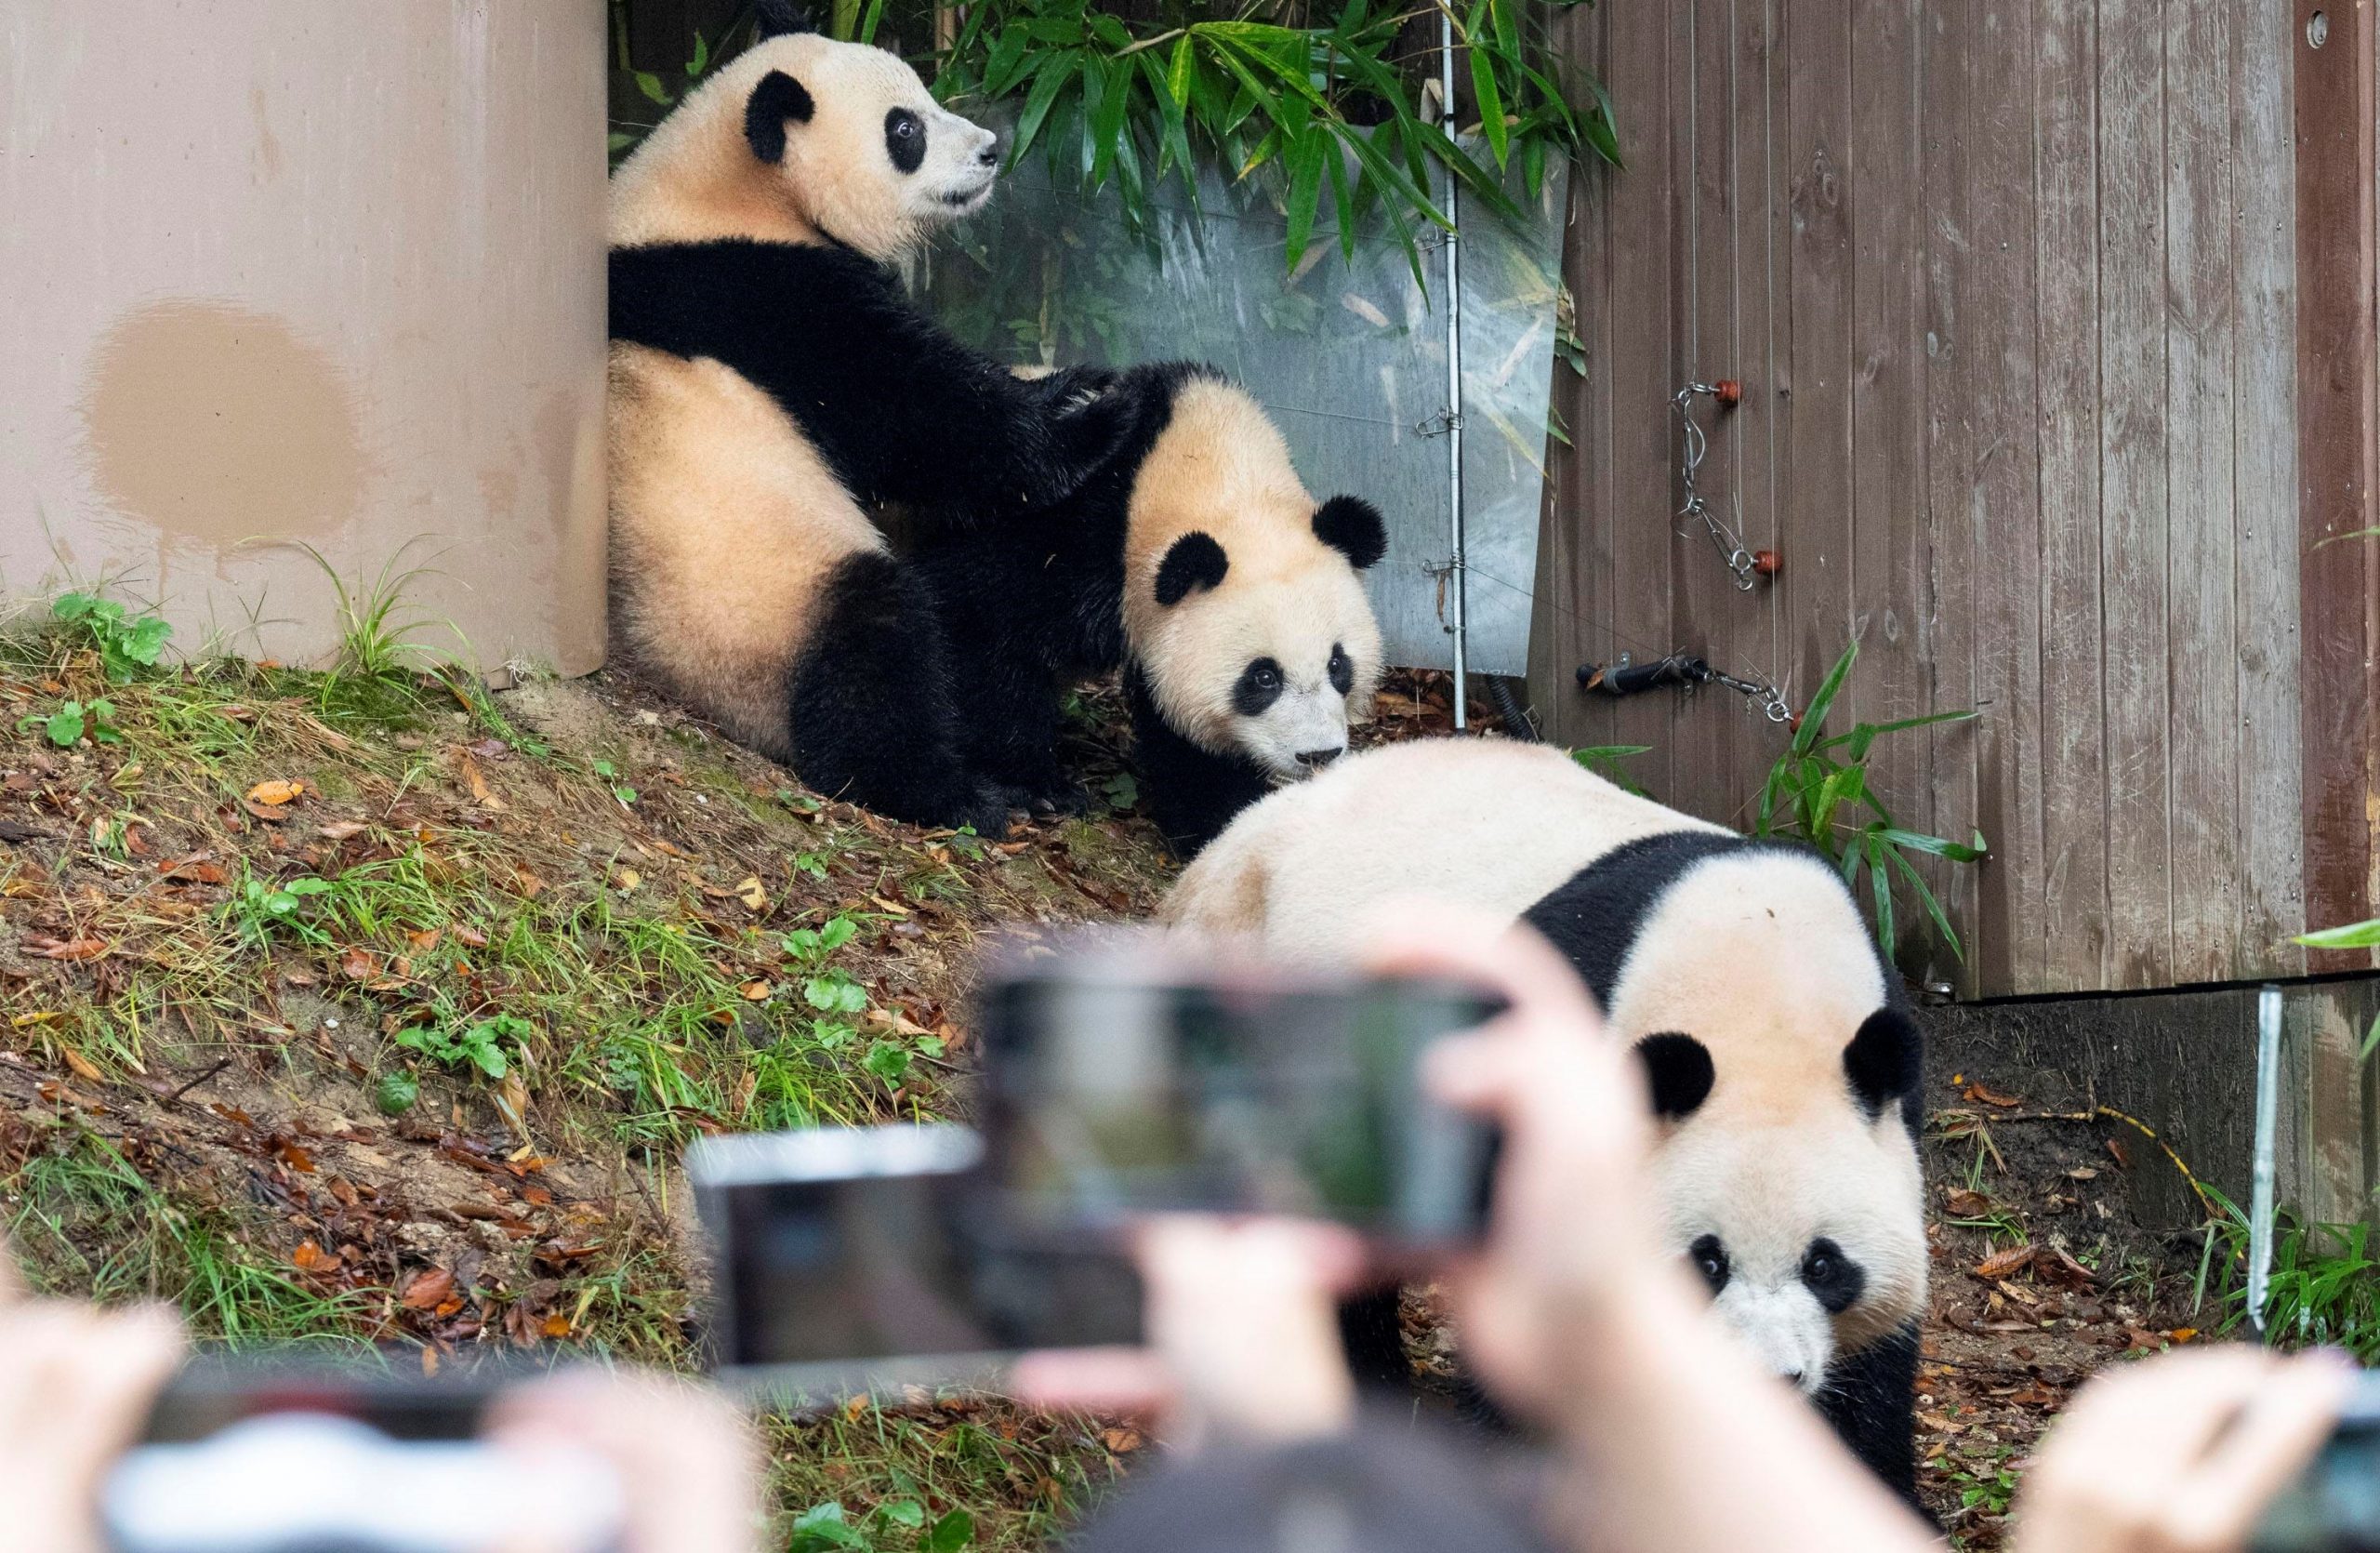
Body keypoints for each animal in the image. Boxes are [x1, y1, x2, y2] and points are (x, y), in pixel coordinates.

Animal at [604, 3, 1123, 838]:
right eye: (904, 129)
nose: (990, 151)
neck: (724, 190)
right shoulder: (764, 293)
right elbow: (925, 418)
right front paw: (1089, 414)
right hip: (757, 602)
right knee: (876, 643)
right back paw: (957, 791)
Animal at [908, 359, 1390, 857]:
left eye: (1338, 664)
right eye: (1263, 677)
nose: (1318, 754)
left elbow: (1186, 740)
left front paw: (1224, 818)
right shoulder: (1062, 534)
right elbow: (985, 633)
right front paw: (1036, 788)